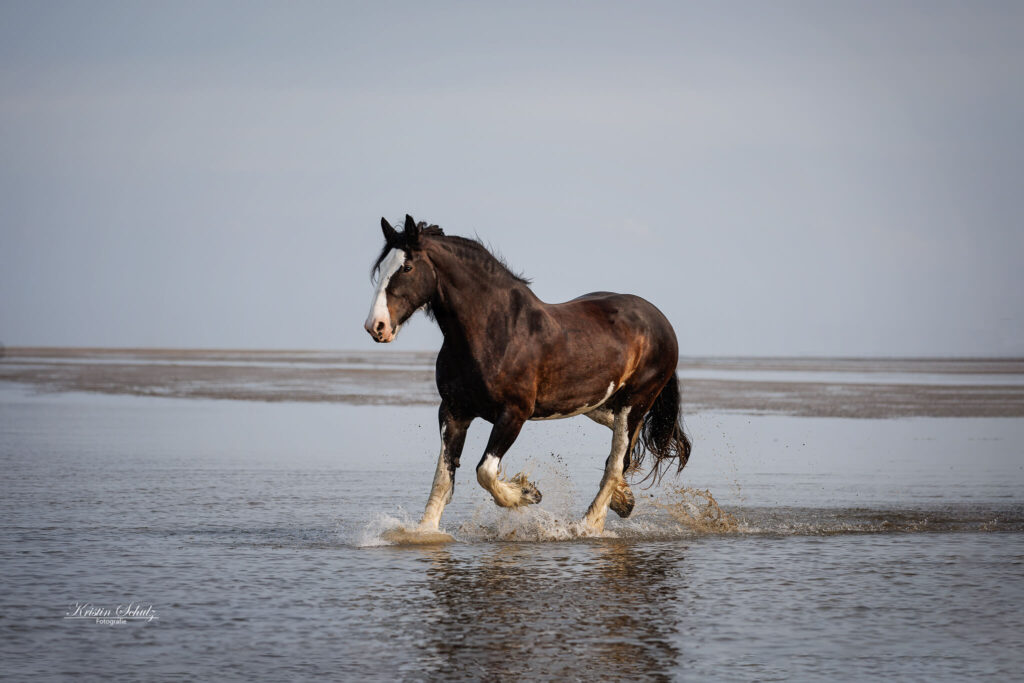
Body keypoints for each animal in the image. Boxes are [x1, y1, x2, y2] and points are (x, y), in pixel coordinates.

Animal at [364, 214, 691, 535]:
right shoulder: (453, 411)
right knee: (623, 447)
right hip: (598, 403)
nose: (376, 327)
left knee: (617, 459)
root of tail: (659, 320)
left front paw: (527, 493)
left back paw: (589, 525)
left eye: (406, 267)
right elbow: (443, 477)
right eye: (381, 268)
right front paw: (425, 531)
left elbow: (485, 472)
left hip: (636, 400)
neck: (494, 330)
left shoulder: (514, 413)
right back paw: (623, 500)